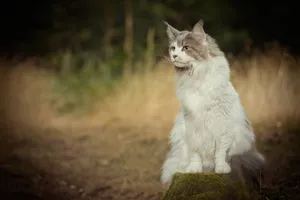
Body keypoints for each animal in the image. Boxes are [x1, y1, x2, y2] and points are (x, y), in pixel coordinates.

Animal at [159, 19, 264, 184]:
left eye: (186, 48)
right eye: (173, 48)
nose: (174, 55)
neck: (194, 76)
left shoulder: (222, 125)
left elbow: (220, 152)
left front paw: (221, 168)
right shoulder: (192, 126)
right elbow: (195, 153)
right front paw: (194, 169)